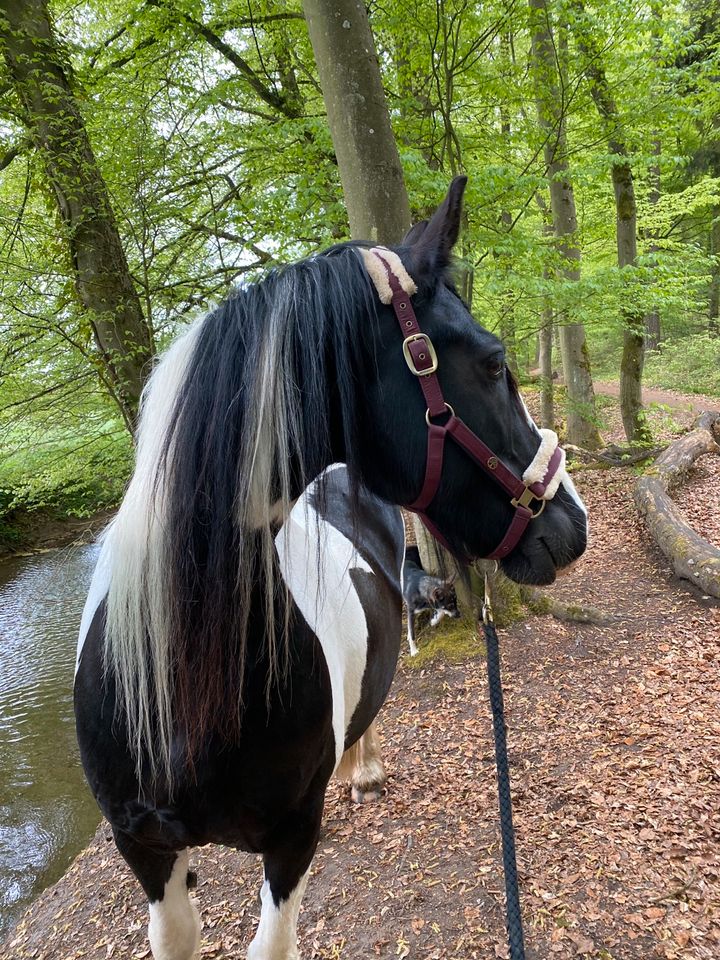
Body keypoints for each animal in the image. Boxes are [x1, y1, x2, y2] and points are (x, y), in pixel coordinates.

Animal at [74, 176, 584, 956]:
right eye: (495, 363)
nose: (572, 524)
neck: (187, 686)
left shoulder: (291, 842)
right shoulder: (146, 849)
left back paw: (362, 768)